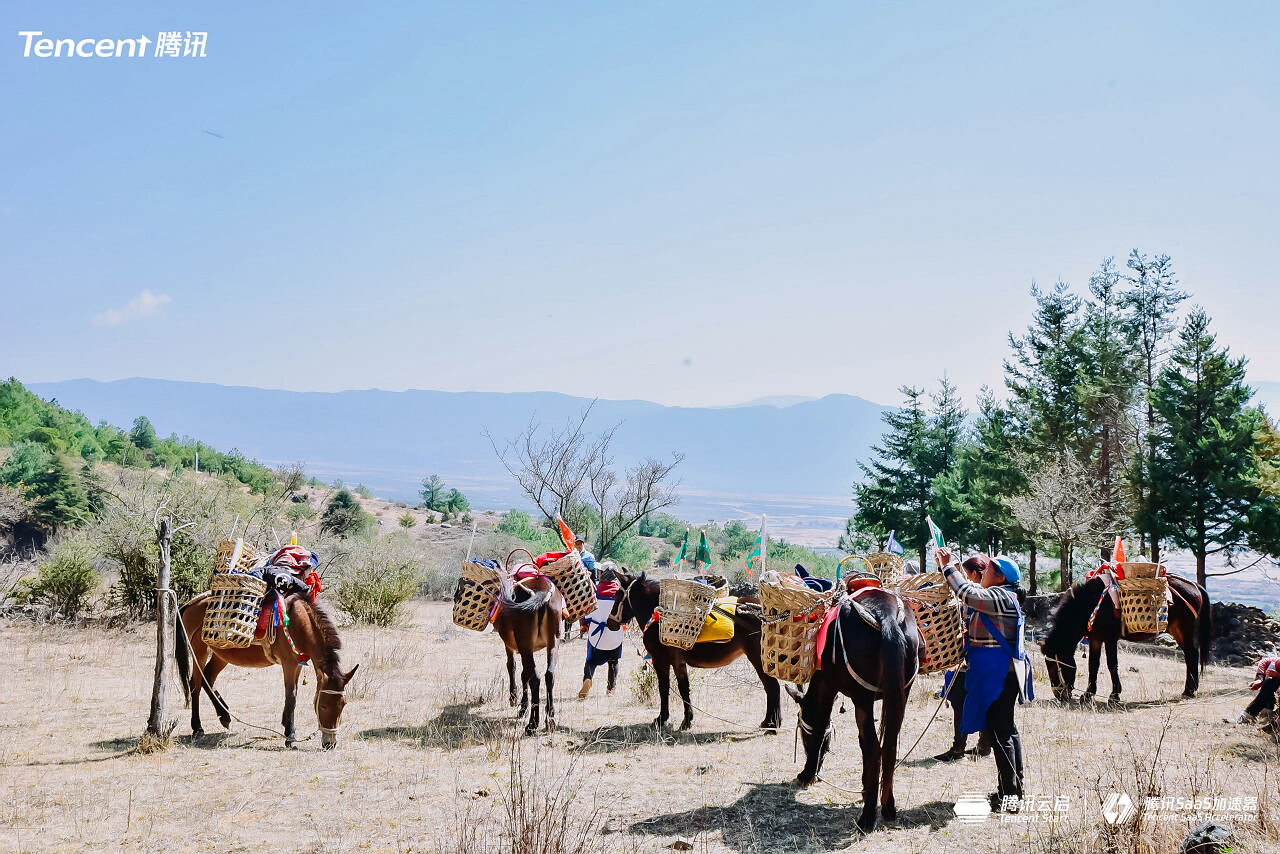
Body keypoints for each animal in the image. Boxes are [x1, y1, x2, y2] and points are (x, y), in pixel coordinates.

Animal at [174, 594, 355, 747]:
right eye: (323, 706)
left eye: (343, 704)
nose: (330, 743)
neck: (299, 624)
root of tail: (191, 605)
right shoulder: (289, 664)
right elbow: (291, 697)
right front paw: (290, 736)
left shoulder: (297, 665)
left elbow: (293, 694)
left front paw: (286, 724)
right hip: (199, 651)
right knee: (195, 685)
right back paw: (197, 727)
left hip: (221, 654)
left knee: (208, 678)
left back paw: (224, 715)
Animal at [491, 568, 563, 737]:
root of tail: (542, 592)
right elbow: (524, 674)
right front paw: (523, 705)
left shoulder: (511, 646)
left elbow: (512, 666)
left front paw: (516, 699)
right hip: (553, 642)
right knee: (549, 674)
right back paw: (550, 719)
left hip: (526, 645)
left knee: (535, 678)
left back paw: (532, 724)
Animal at [606, 571, 783, 732]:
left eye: (617, 595)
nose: (609, 623)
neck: (659, 618)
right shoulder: (679, 664)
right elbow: (684, 689)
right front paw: (687, 720)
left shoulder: (661, 661)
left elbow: (664, 689)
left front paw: (662, 719)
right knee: (771, 686)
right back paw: (770, 722)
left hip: (759, 659)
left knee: (771, 686)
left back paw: (771, 724)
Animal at [783, 588, 916, 834]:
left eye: (803, 734)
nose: (818, 772)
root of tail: (887, 615)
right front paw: (865, 787)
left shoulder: (827, 686)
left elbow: (819, 728)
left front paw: (806, 774)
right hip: (900, 695)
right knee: (889, 747)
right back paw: (887, 807)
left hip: (862, 698)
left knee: (874, 748)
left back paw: (868, 817)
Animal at [1039, 573, 1208, 701]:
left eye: (1053, 666)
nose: (1058, 694)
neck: (1092, 604)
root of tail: (1194, 585)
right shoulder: (1096, 639)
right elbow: (1093, 664)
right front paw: (1088, 694)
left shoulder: (1110, 638)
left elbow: (1112, 664)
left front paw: (1114, 694)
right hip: (1176, 629)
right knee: (1189, 655)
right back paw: (1190, 689)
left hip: (1185, 628)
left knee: (1192, 654)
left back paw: (1189, 690)